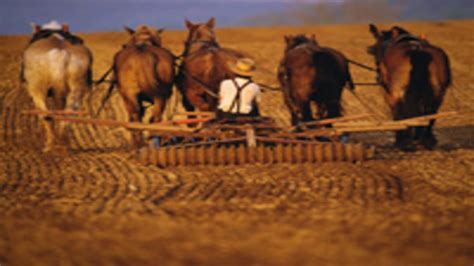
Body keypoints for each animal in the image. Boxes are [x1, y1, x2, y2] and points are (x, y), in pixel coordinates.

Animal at [21, 20, 92, 152]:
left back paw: (50, 145)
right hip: (76, 88)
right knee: (68, 113)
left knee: (46, 115)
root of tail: (59, 52)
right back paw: (64, 144)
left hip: (37, 89)